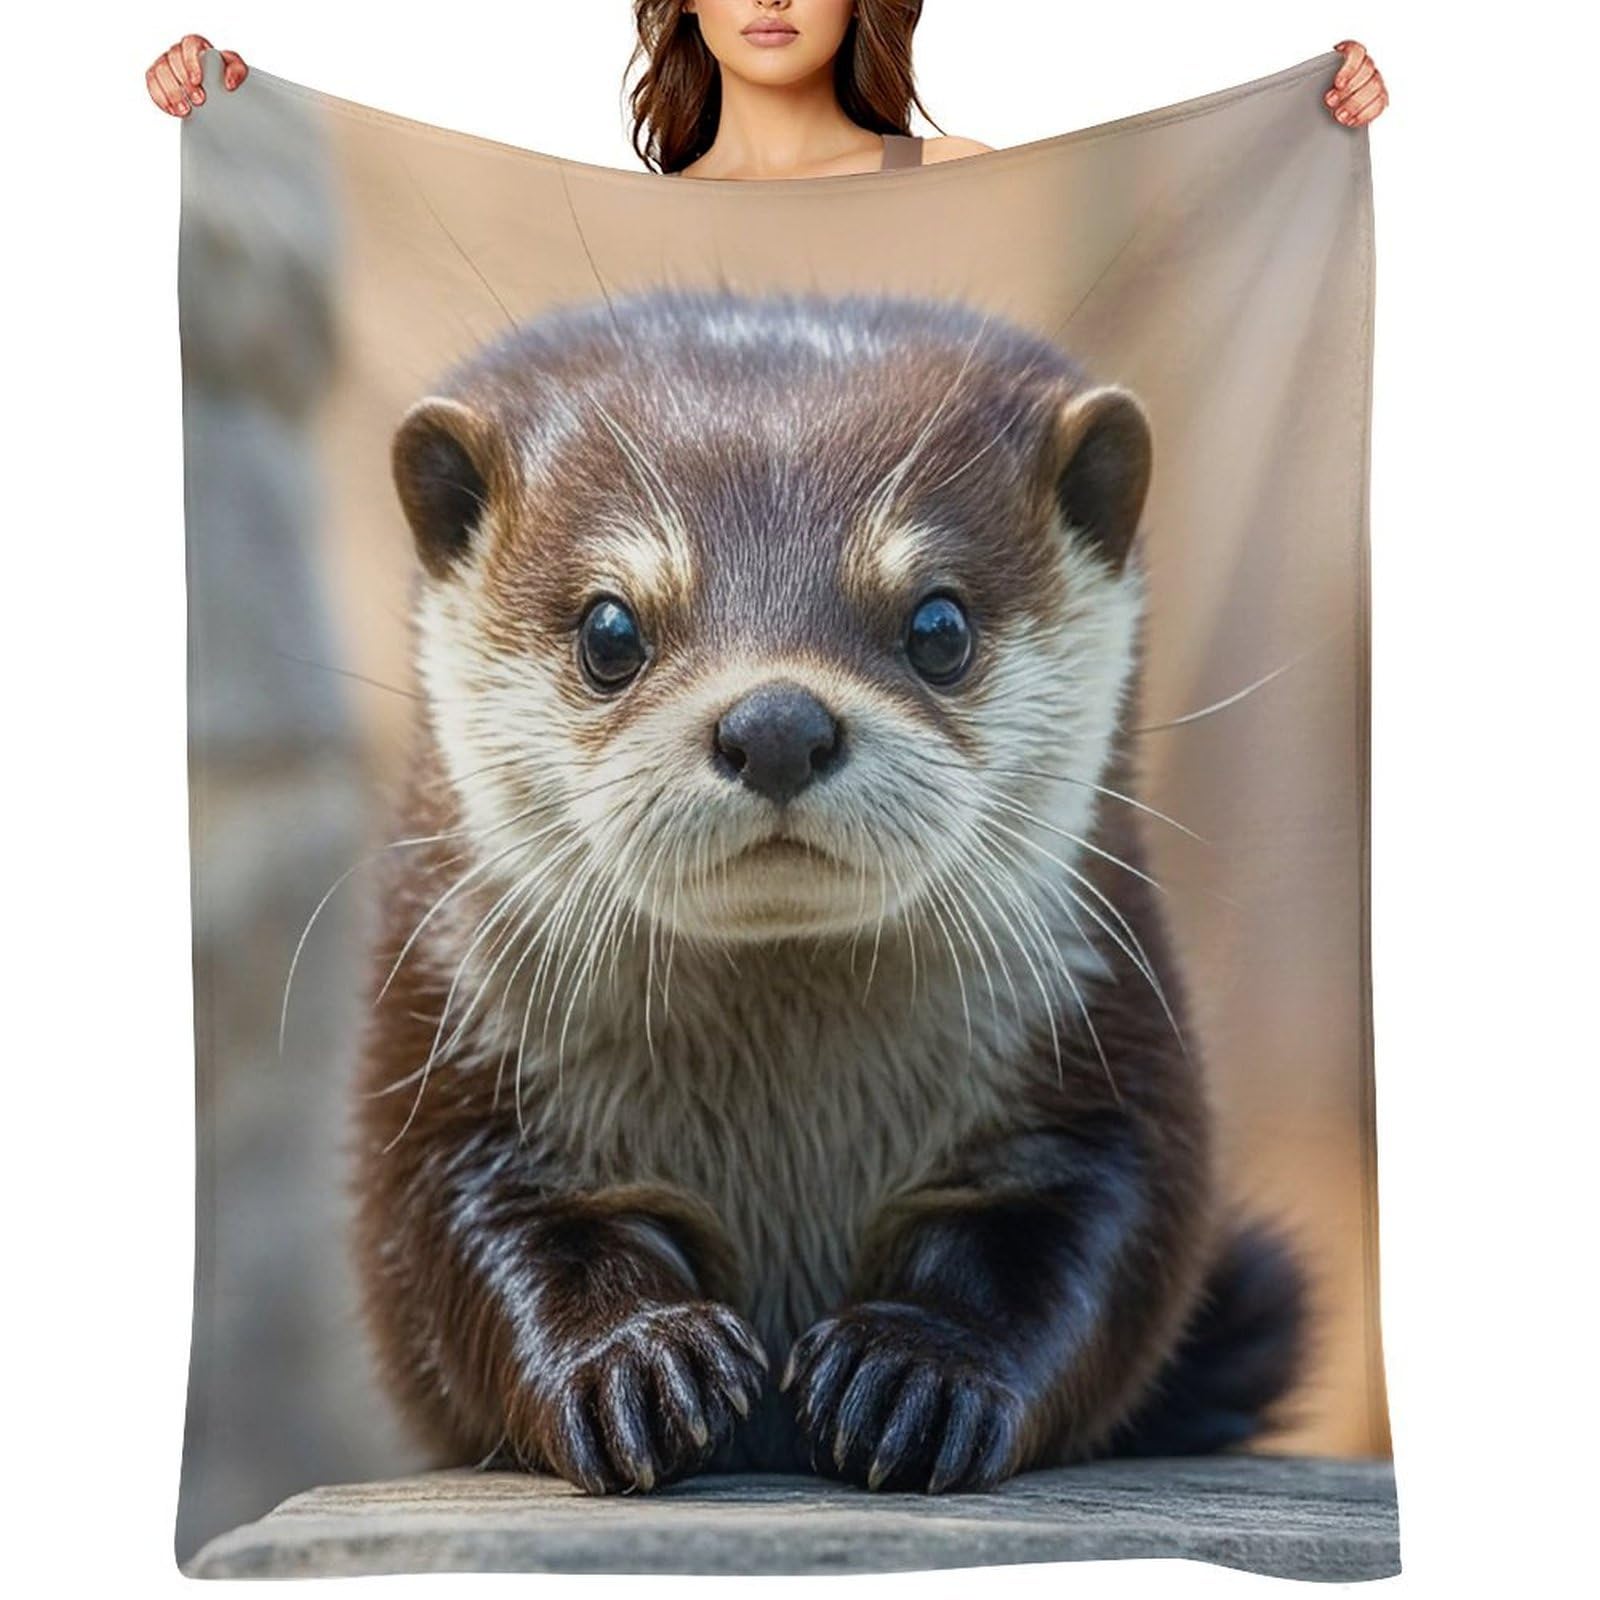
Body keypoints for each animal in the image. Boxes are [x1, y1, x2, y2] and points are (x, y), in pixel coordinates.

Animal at [352, 288, 1305, 1494]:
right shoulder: (451, 1069)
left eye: (938, 624)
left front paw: (916, 1372)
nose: (775, 723)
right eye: (610, 628)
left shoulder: (1106, 1054)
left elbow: (1088, 1236)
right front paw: (634, 1360)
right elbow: (468, 1241)